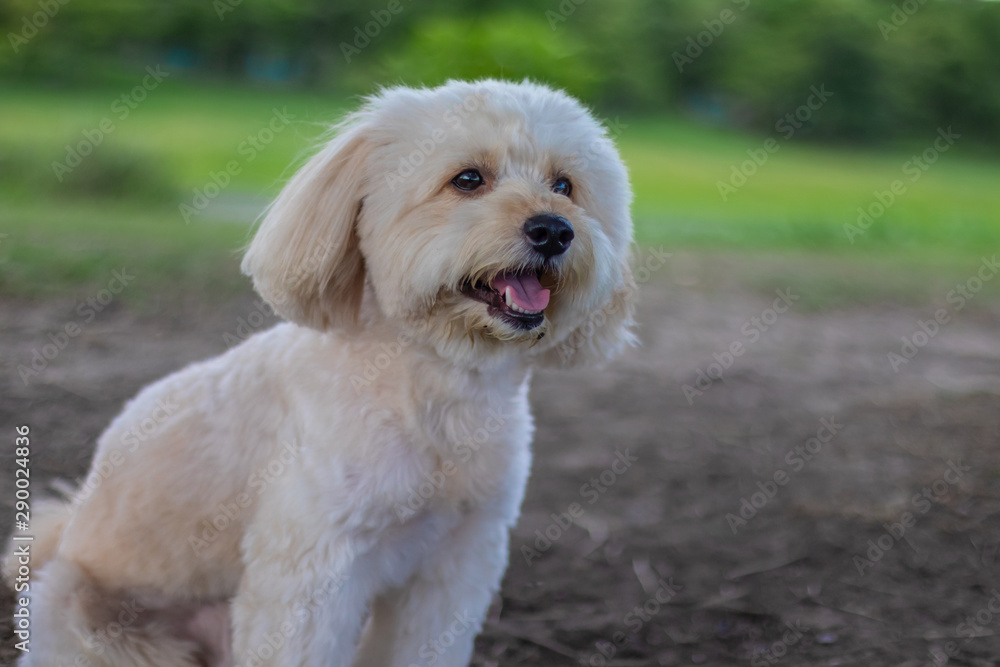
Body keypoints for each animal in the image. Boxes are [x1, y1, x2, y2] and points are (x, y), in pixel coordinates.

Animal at [9, 79, 632, 667]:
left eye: (564, 186)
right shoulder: (313, 568)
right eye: (468, 179)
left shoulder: (456, 561)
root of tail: (62, 531)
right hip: (89, 619)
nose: (553, 230)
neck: (427, 382)